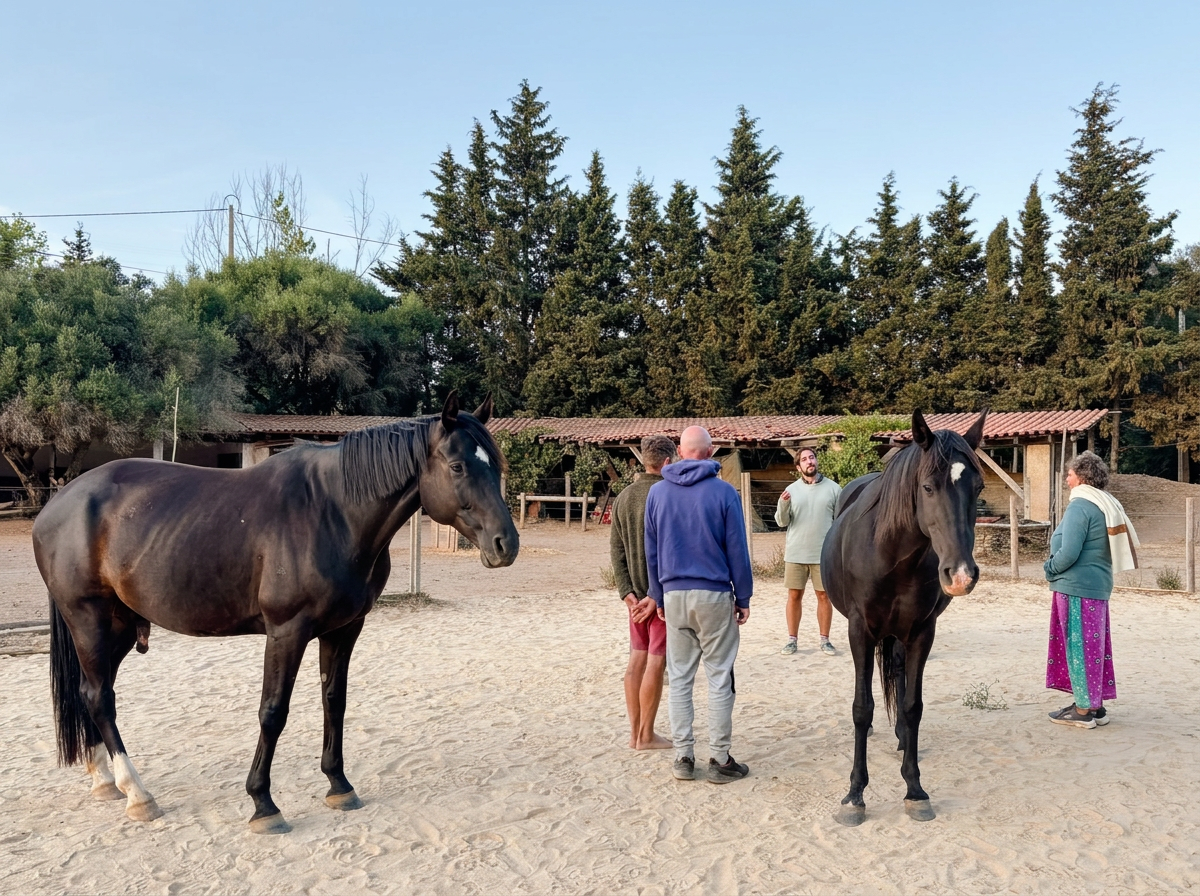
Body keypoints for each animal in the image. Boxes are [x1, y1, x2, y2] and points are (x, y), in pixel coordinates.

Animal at [32, 392, 518, 834]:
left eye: (495, 464)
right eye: (458, 466)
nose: (505, 544)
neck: (334, 512)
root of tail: (57, 504)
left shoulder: (345, 628)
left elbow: (334, 701)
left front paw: (339, 785)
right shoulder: (286, 632)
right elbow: (273, 711)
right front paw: (263, 803)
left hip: (117, 626)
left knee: (89, 693)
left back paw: (104, 780)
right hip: (90, 621)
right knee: (101, 698)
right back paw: (138, 793)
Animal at [821, 409, 986, 826]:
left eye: (977, 488)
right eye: (927, 487)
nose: (961, 575)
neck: (890, 554)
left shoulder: (921, 633)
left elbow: (913, 707)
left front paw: (914, 790)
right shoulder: (860, 632)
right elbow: (861, 708)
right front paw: (854, 796)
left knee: (897, 675)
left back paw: (899, 738)